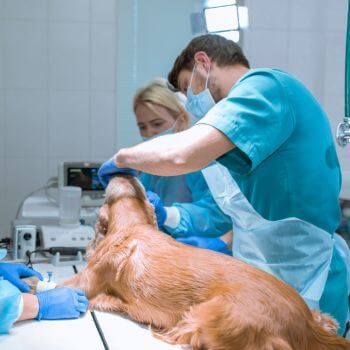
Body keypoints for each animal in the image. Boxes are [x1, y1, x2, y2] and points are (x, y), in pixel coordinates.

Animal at [61, 175, 350, 350]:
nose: (121, 173)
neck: (132, 225)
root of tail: (306, 325)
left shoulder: (84, 280)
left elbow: (63, 286)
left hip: (202, 316)